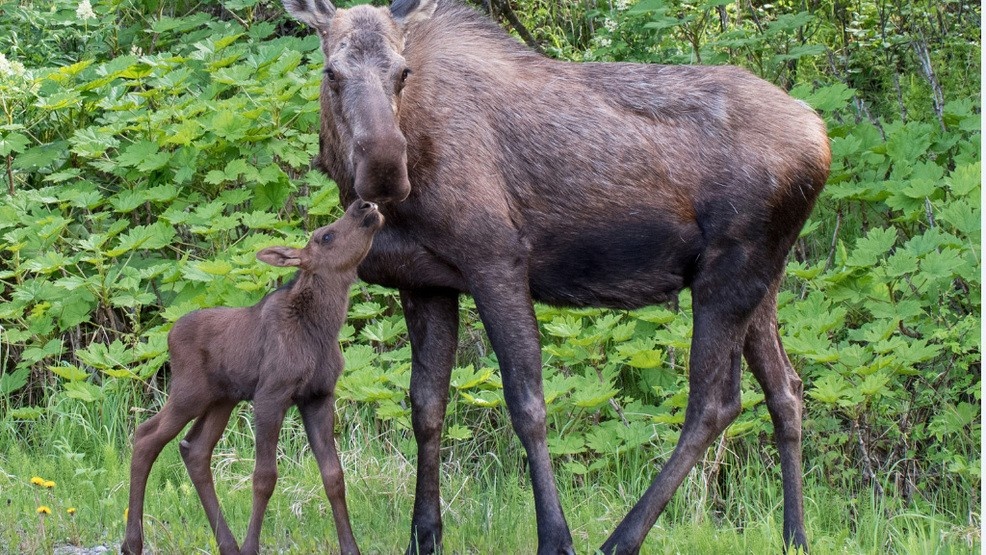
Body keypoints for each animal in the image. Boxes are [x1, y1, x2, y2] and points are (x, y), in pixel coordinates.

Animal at [123, 201, 384, 555]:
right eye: (326, 236)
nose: (364, 205)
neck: (322, 330)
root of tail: (169, 336)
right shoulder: (270, 395)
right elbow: (264, 477)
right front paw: (251, 546)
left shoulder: (318, 396)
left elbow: (334, 475)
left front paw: (351, 548)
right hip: (189, 393)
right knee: (146, 436)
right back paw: (132, 542)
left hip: (222, 399)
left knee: (195, 449)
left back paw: (226, 543)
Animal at [280, 1, 828, 552]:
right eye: (331, 72)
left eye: (402, 72)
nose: (386, 168)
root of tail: (820, 134)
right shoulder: (426, 283)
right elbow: (426, 407)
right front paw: (424, 535)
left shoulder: (496, 260)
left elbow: (528, 406)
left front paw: (555, 536)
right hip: (763, 279)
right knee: (786, 388)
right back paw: (796, 534)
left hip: (729, 273)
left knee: (714, 402)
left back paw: (621, 538)